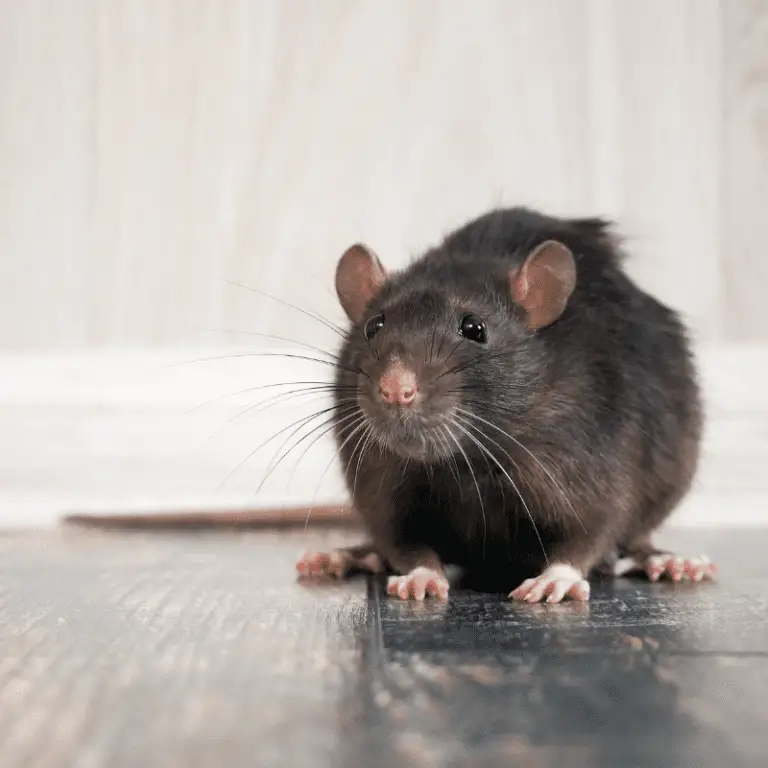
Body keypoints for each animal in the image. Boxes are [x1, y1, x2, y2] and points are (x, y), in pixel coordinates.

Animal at [296, 206, 718, 603]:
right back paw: (343, 556)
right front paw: (420, 575)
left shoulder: (587, 459)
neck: (468, 461)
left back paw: (670, 561)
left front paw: (557, 578)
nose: (395, 389)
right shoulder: (382, 473)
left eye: (473, 328)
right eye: (374, 327)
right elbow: (399, 538)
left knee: (635, 538)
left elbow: (592, 530)